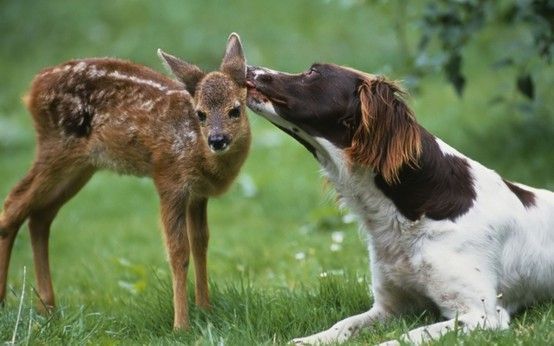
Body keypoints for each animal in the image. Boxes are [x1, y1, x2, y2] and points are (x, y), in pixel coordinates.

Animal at [246, 63, 552, 344]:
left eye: (313, 72)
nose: (249, 67)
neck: (411, 212)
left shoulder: (482, 314)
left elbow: (406, 336)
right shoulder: (391, 307)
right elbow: (343, 324)